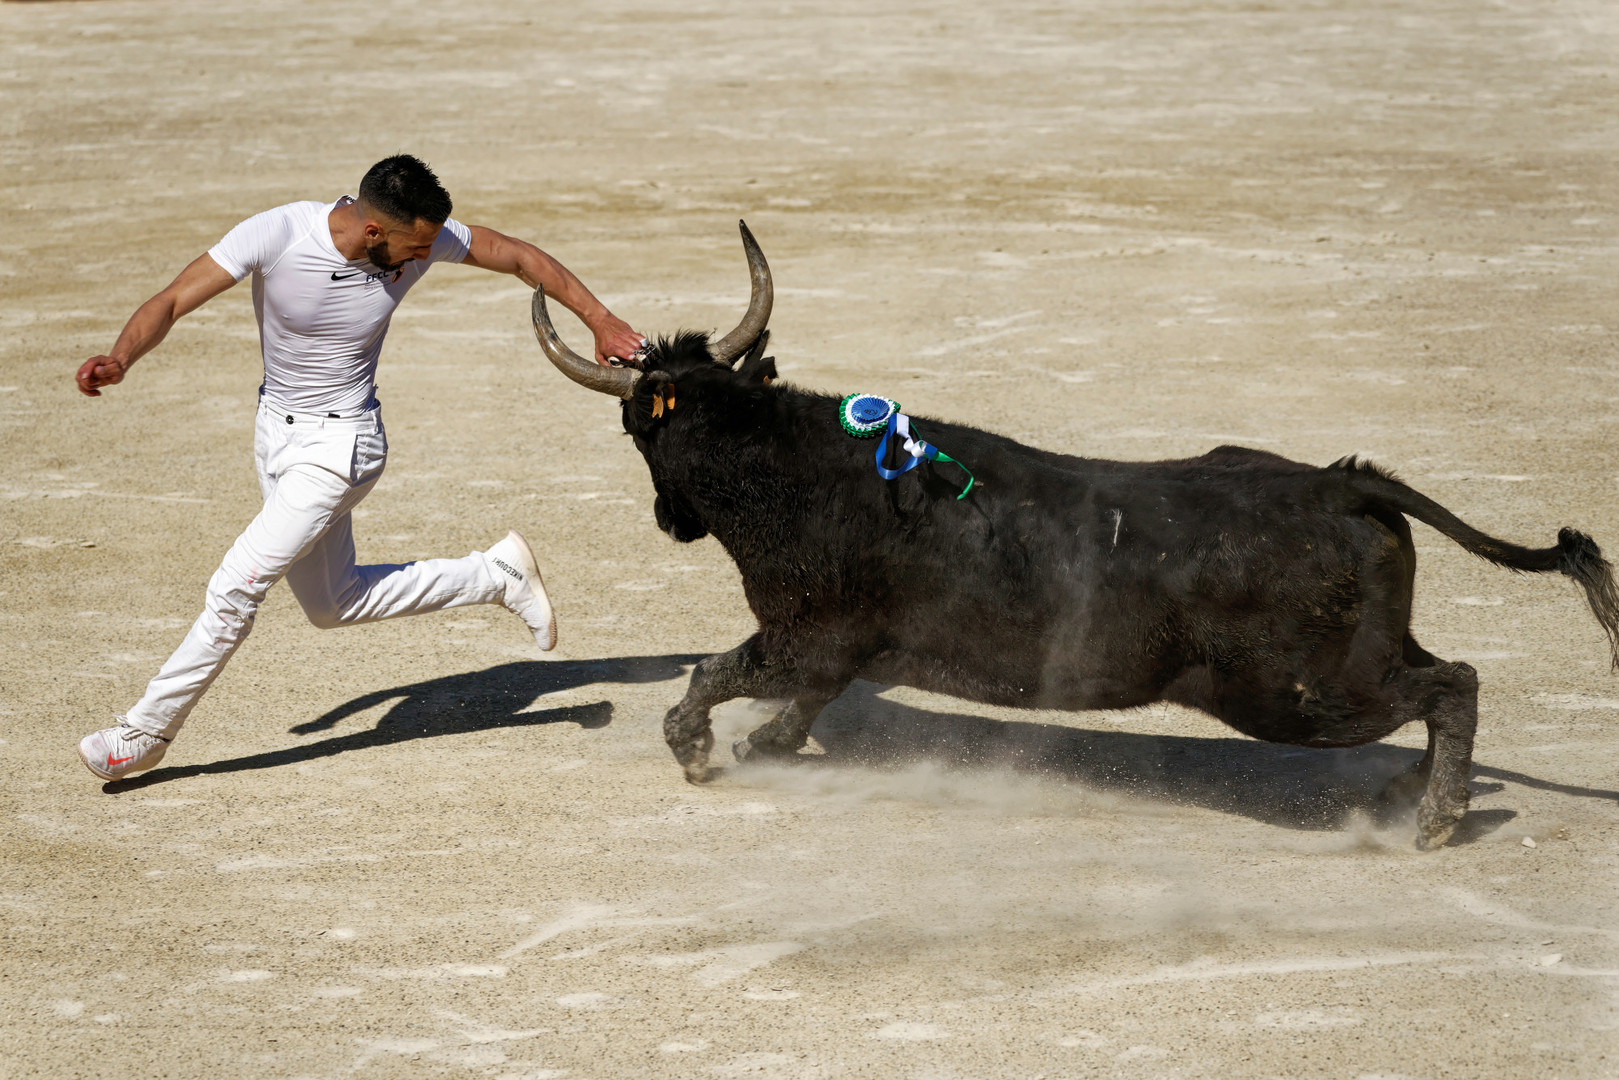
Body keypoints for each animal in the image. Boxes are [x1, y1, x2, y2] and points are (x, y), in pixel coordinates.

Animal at [534, 228, 1619, 854]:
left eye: (637, 431)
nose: (669, 522)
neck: (785, 459)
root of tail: (1340, 479)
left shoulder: (805, 633)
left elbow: (718, 672)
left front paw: (695, 750)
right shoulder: (835, 653)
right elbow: (793, 701)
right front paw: (765, 745)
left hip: (1295, 695)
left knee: (1452, 684)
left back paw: (1433, 821)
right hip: (1348, 665)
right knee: (1436, 683)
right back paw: (1412, 790)